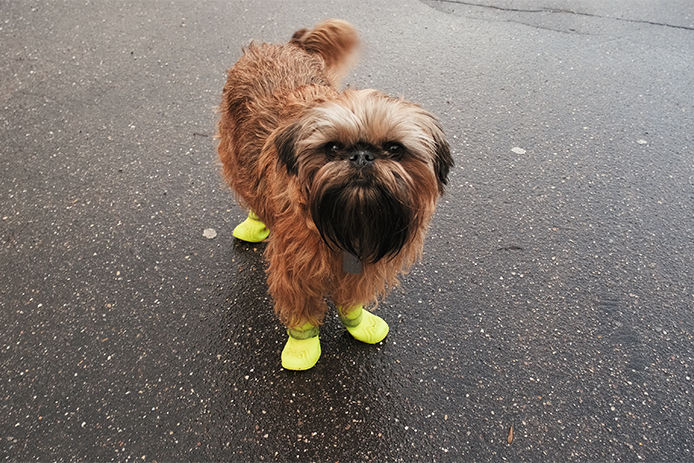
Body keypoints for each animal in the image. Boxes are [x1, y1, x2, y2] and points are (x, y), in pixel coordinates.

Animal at [219, 20, 456, 370]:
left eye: (394, 149)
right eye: (332, 148)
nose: (362, 156)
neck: (349, 220)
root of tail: (286, 47)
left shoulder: (364, 265)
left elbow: (351, 299)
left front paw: (358, 323)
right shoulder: (295, 267)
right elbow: (302, 309)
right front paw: (302, 347)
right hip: (234, 154)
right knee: (249, 189)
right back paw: (255, 223)